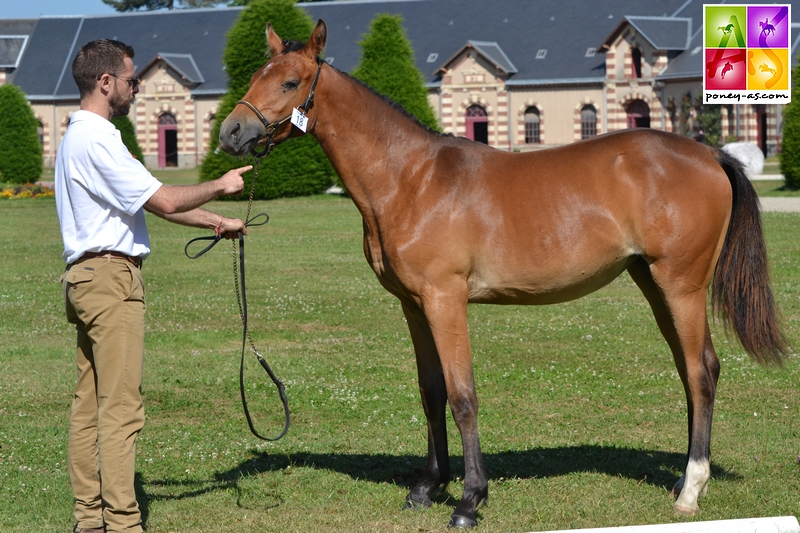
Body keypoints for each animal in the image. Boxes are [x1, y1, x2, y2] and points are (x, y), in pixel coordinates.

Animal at [219, 19, 788, 528]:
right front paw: (427, 488)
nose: (231, 133)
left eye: (290, 82)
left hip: (682, 285)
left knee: (702, 372)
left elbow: (463, 396)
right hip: (654, 285)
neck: (409, 178)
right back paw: (683, 480)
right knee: (692, 373)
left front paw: (470, 500)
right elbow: (432, 393)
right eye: (254, 76)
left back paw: (691, 491)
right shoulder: (413, 305)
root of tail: (708, 153)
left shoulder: (445, 299)